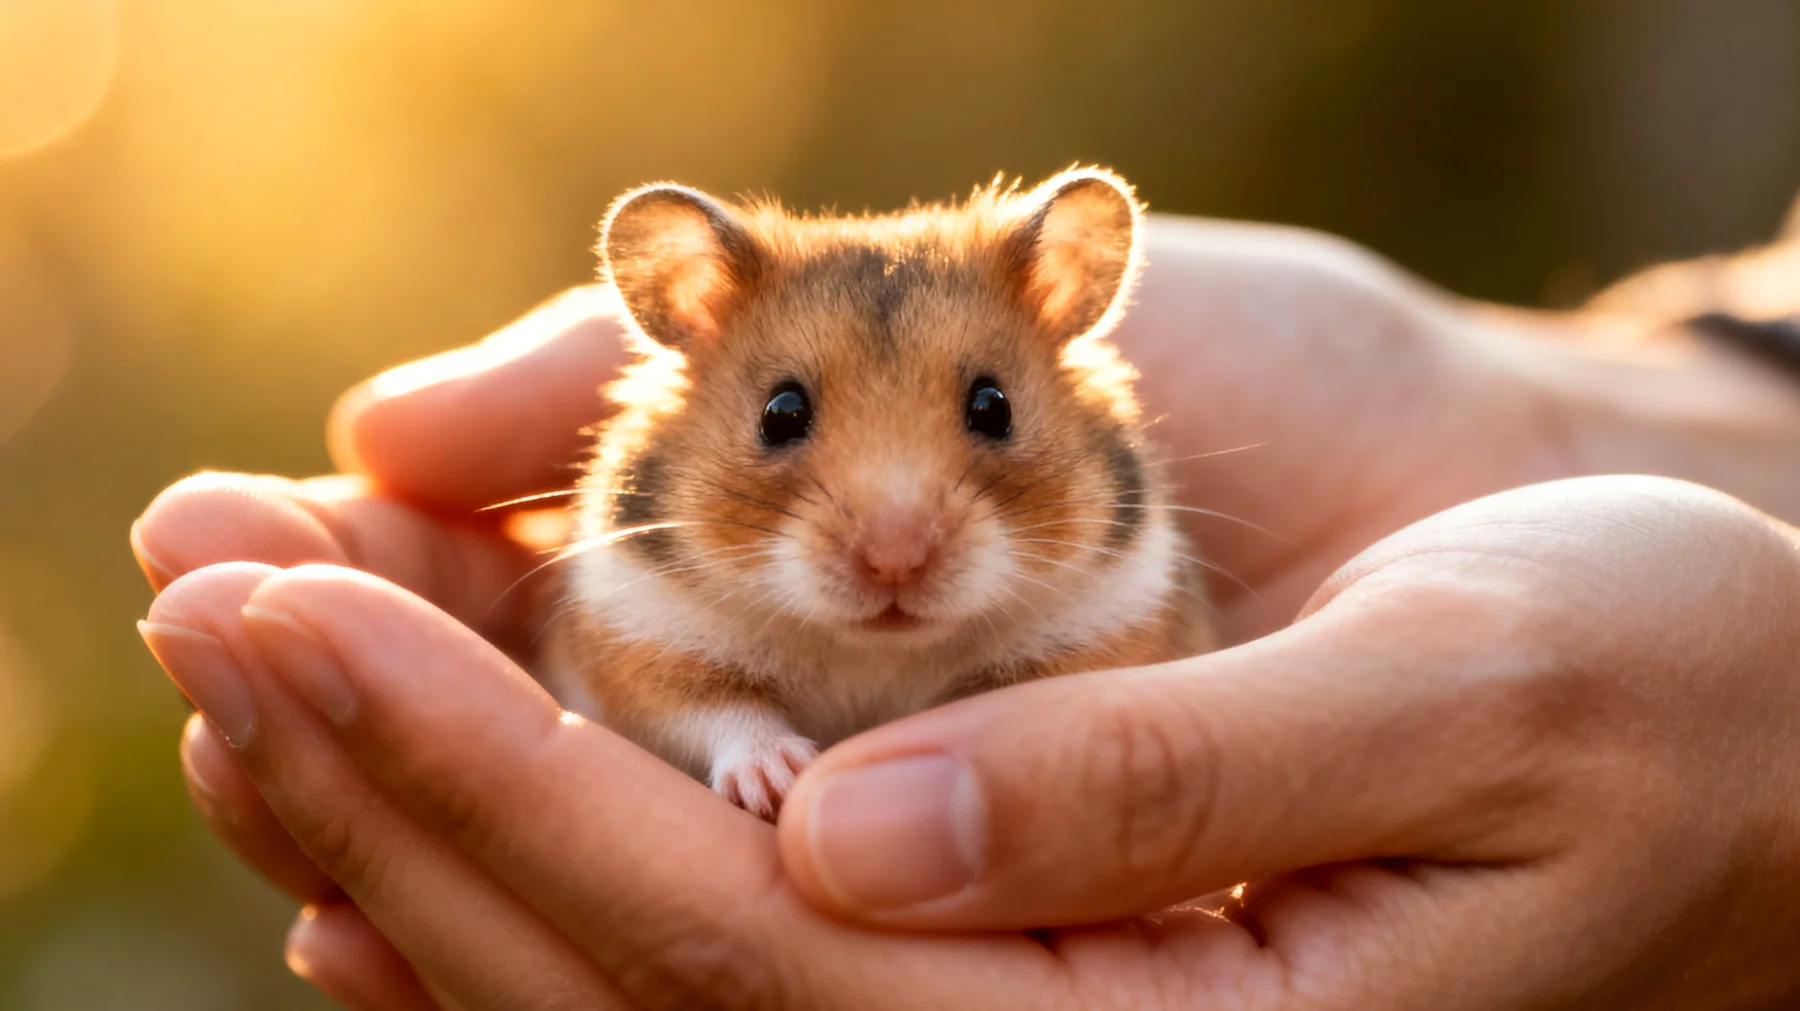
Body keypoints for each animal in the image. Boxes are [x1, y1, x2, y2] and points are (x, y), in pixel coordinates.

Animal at [540, 168, 1218, 819]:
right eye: (780, 412)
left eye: (993, 406)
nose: (896, 562)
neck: (871, 650)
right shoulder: (638, 632)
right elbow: (715, 710)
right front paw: (779, 780)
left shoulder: (1112, 617)